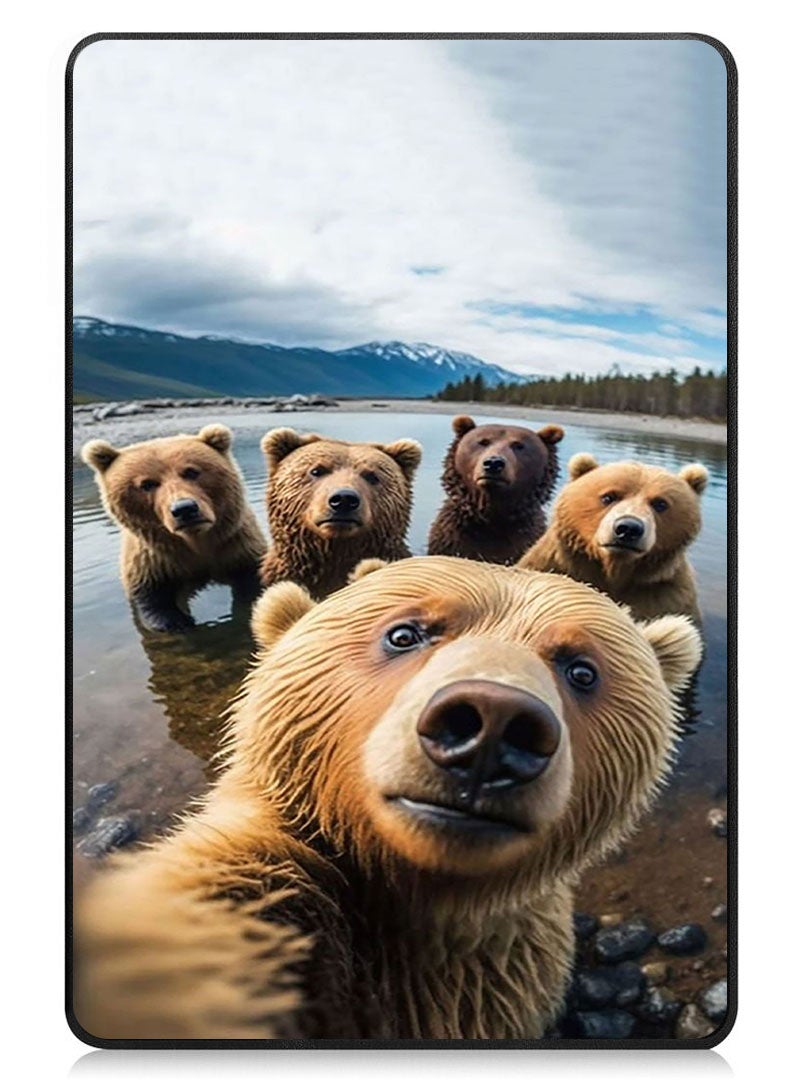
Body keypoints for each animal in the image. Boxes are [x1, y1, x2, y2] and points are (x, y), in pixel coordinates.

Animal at [81, 425, 267, 632]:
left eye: (191, 472)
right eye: (147, 484)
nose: (185, 508)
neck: (197, 542)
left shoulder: (236, 544)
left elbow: (252, 582)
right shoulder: (153, 561)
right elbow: (151, 600)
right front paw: (177, 622)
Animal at [519, 454, 709, 624]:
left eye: (660, 503)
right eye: (608, 497)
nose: (628, 528)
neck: (614, 569)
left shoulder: (665, 594)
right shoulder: (553, 565)